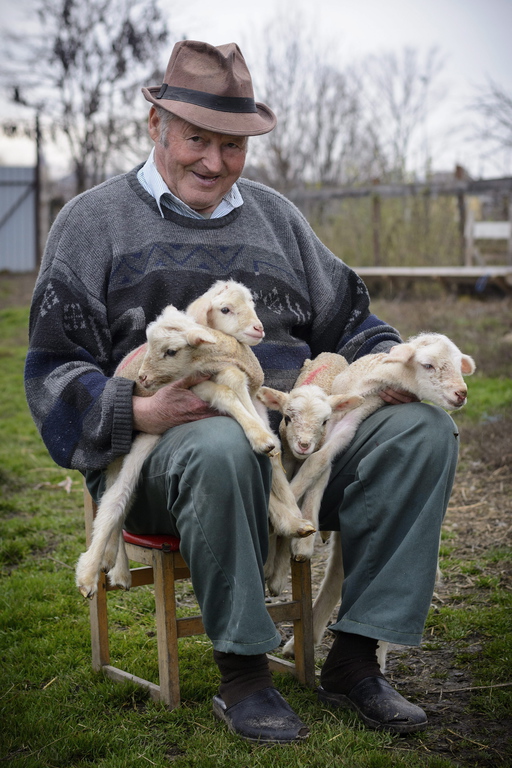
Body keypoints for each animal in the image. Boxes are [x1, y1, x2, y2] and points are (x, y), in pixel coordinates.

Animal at [75, 282, 316, 600]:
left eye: (252, 304)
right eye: (225, 309)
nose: (258, 328)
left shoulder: (247, 388)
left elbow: (273, 458)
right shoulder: (193, 386)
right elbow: (226, 393)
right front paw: (259, 436)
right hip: (139, 443)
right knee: (115, 499)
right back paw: (95, 571)